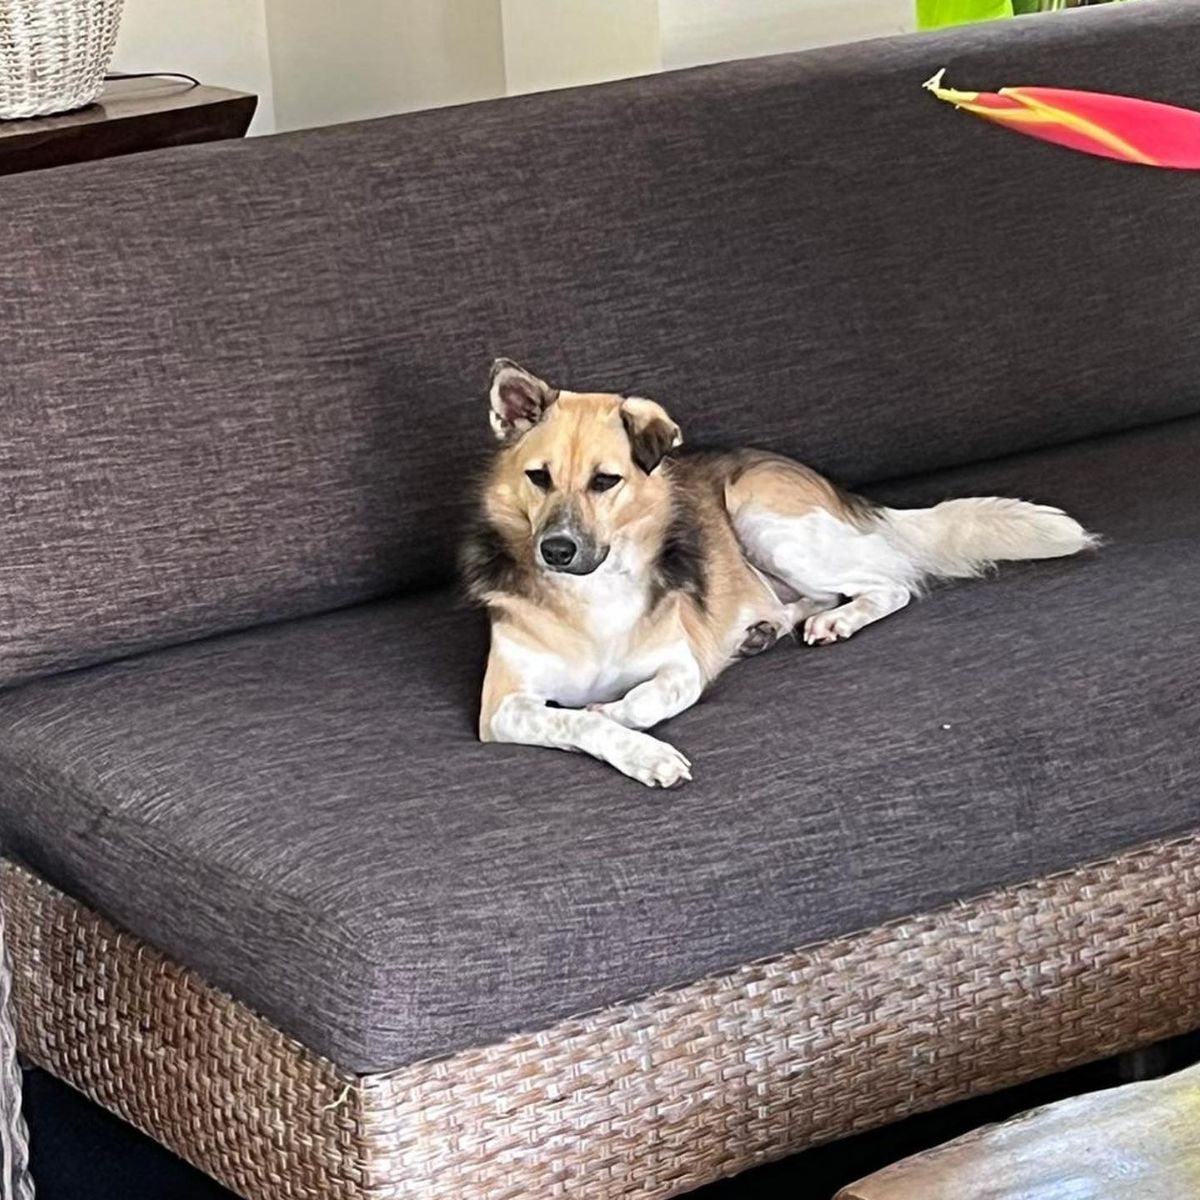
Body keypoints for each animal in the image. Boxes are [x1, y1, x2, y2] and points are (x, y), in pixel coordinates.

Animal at [460, 355, 1099, 787]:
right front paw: (636, 747)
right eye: (538, 478)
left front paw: (619, 715)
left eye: (605, 481)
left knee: (890, 584)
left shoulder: (679, 668)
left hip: (763, 519)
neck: (591, 596)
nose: (556, 551)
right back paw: (767, 631)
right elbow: (574, 723)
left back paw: (836, 622)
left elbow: (643, 702)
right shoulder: (503, 706)